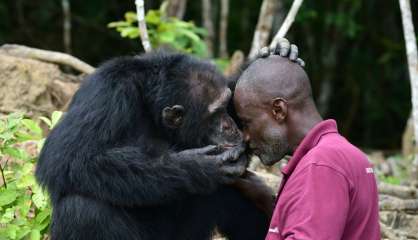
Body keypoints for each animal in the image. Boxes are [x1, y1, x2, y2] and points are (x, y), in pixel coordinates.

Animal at [36, 51, 272, 240]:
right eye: (216, 114)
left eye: (226, 106)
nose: (231, 126)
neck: (151, 109)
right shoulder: (105, 94)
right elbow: (67, 155)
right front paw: (201, 167)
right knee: (82, 208)